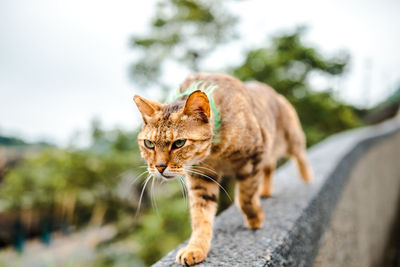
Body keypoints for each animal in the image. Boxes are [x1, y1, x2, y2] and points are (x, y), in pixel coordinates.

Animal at [133, 73, 310, 266]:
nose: (159, 167)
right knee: (269, 169)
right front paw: (196, 247)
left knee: (300, 156)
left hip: (291, 139)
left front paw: (255, 218)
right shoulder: (201, 178)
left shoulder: (253, 158)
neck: (215, 153)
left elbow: (246, 197)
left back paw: (307, 178)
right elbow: (200, 217)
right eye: (149, 144)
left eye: (179, 143)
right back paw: (265, 191)